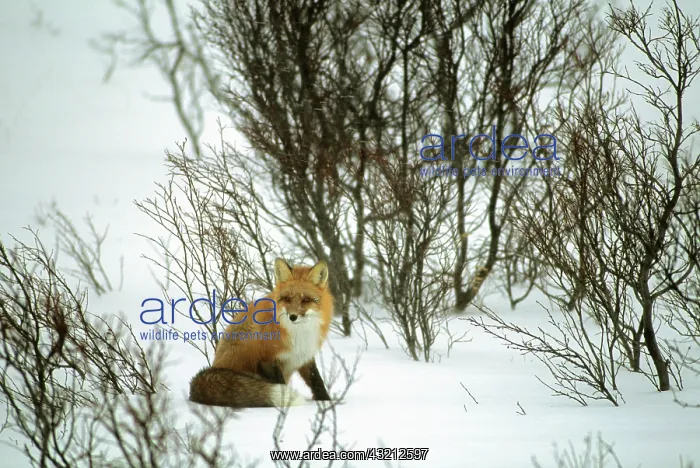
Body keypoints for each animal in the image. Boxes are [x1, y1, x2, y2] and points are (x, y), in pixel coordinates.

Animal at [188, 258, 334, 408]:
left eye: (306, 300)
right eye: (287, 299)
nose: (292, 317)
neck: (299, 333)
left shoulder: (304, 354)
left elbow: (316, 381)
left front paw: (327, 401)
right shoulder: (267, 359)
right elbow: (281, 383)